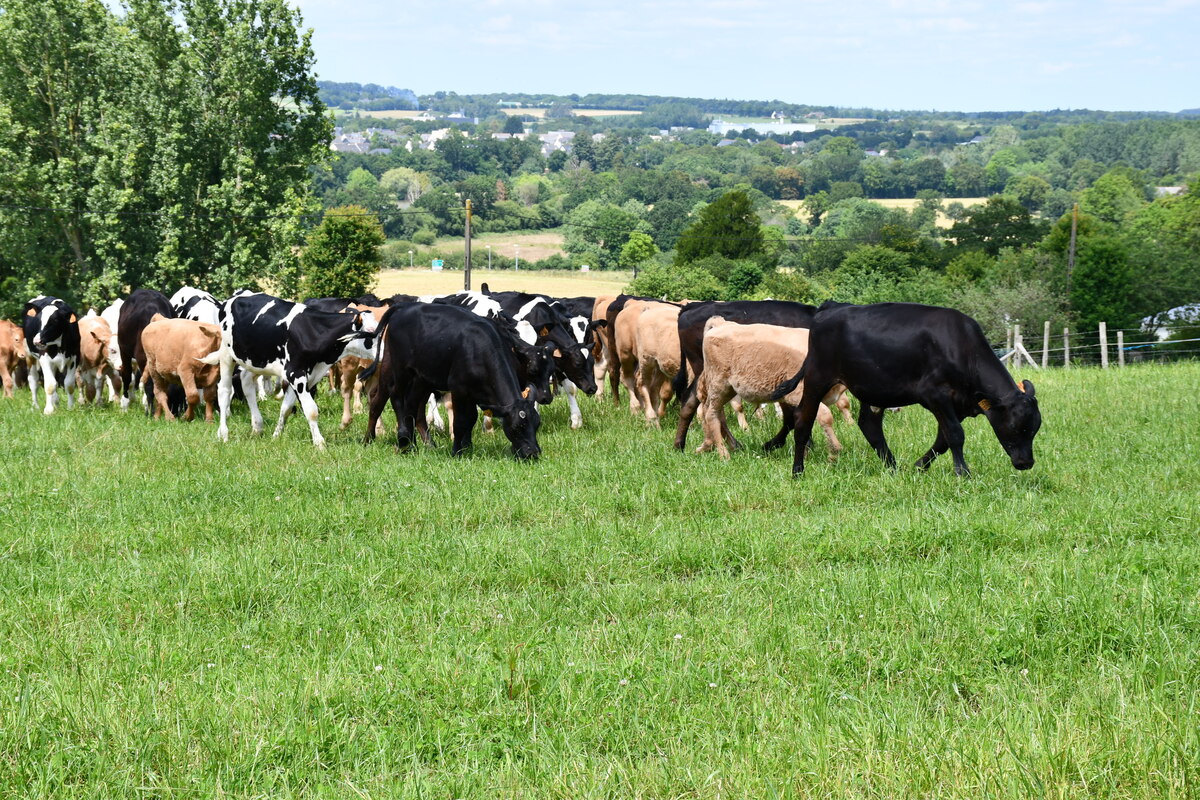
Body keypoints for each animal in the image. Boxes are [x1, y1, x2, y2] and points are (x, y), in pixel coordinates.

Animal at [199, 291, 374, 448]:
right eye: (371, 333)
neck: (314, 331)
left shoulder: (308, 375)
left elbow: (286, 408)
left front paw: (276, 436)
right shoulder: (295, 374)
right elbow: (311, 410)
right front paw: (320, 444)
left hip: (256, 361)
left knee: (246, 381)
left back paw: (257, 426)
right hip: (227, 354)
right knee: (224, 390)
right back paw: (223, 434)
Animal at [360, 303, 540, 460]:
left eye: (537, 424)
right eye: (517, 427)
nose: (533, 453)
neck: (479, 349)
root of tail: (405, 306)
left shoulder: (474, 392)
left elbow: (471, 418)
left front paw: (467, 447)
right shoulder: (458, 388)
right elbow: (460, 421)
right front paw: (457, 452)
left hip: (421, 378)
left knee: (412, 407)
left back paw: (416, 444)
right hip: (400, 370)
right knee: (392, 398)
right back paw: (396, 440)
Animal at [672, 298, 820, 453]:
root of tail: (691, 307)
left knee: (692, 400)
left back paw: (680, 445)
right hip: (709, 372)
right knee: (709, 406)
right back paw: (731, 445)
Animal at [696, 316, 844, 460]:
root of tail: (723, 324)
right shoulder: (798, 395)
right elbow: (825, 416)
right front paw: (835, 451)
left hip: (727, 389)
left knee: (716, 412)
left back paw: (715, 445)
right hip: (718, 384)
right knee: (711, 414)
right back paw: (723, 454)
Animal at [768, 299, 1041, 474]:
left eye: (1035, 428)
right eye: (1016, 427)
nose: (1026, 463)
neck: (961, 348)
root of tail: (832, 307)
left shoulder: (959, 404)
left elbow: (942, 440)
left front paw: (920, 466)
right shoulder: (935, 394)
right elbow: (955, 434)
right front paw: (963, 473)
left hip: (872, 387)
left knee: (870, 425)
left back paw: (893, 468)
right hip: (818, 377)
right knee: (803, 419)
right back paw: (798, 471)